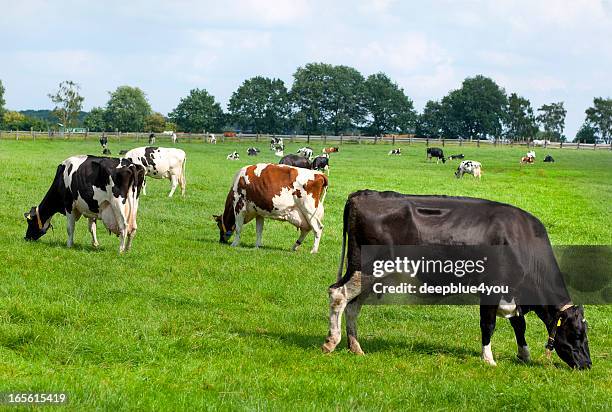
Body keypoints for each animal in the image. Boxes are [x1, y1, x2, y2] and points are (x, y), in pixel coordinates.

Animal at [322, 190, 592, 370]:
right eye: (577, 334)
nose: (588, 364)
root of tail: (362, 194)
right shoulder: (491, 288)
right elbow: (488, 325)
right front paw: (488, 359)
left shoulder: (513, 293)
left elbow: (519, 324)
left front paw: (524, 355)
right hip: (365, 268)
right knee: (338, 295)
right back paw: (331, 342)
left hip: (372, 275)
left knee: (353, 305)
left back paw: (355, 347)